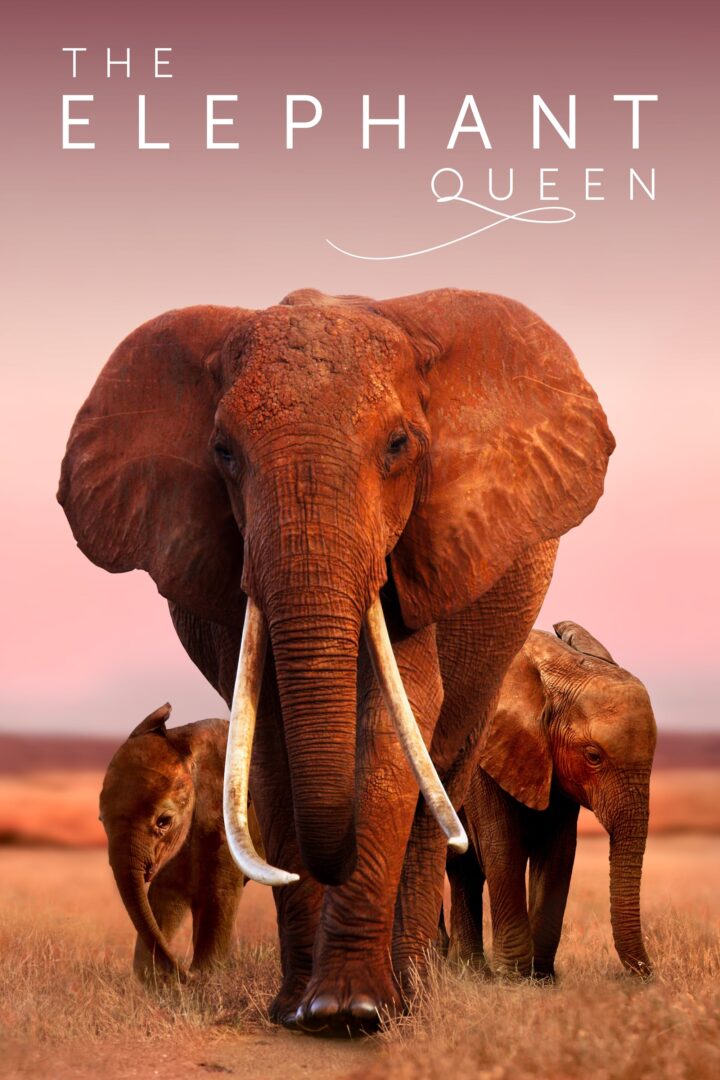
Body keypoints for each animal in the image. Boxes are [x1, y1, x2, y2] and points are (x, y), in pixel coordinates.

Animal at [99, 703, 255, 981]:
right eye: (101, 820)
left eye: (164, 821)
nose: (185, 972)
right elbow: (165, 894)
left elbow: (220, 893)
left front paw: (204, 976)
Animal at [446, 621, 657, 980]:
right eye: (593, 756)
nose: (650, 974)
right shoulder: (483, 753)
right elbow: (502, 846)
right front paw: (513, 978)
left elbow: (558, 852)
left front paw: (542, 978)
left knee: (462, 870)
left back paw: (465, 970)